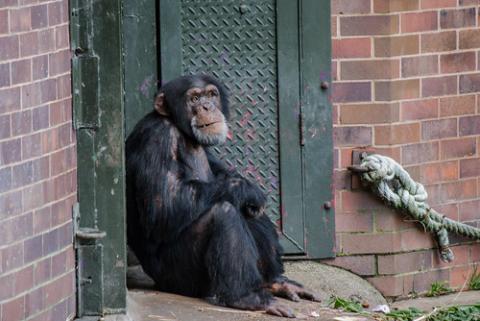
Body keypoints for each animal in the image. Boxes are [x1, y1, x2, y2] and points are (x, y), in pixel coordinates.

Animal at [125, 74, 318, 316]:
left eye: (211, 94)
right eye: (194, 98)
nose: (207, 106)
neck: (181, 130)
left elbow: (221, 172)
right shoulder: (158, 139)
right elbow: (163, 206)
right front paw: (247, 189)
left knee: (249, 215)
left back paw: (274, 282)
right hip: (178, 276)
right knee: (224, 213)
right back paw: (247, 298)